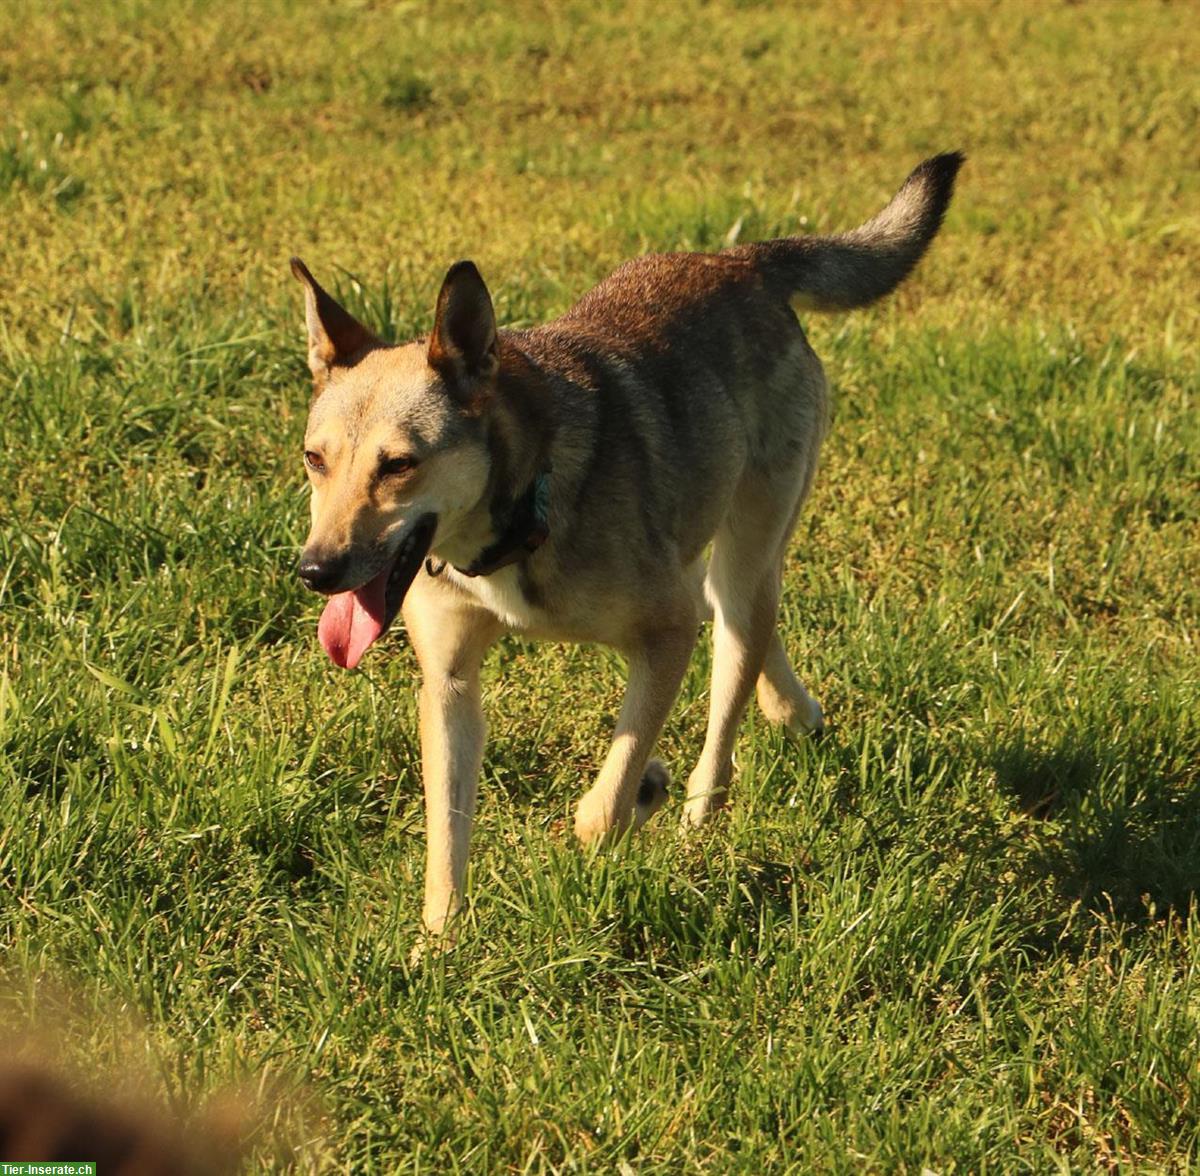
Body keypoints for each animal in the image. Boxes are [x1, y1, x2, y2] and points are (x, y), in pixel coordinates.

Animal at [290, 151, 964, 931]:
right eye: (314, 459)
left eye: (399, 465)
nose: (315, 571)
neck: (522, 506)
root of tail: (742, 260)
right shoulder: (450, 682)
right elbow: (446, 834)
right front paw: (437, 941)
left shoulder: (664, 632)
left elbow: (603, 809)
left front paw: (641, 789)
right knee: (741, 623)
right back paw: (791, 709)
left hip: (746, 551)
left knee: (730, 674)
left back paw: (702, 801)